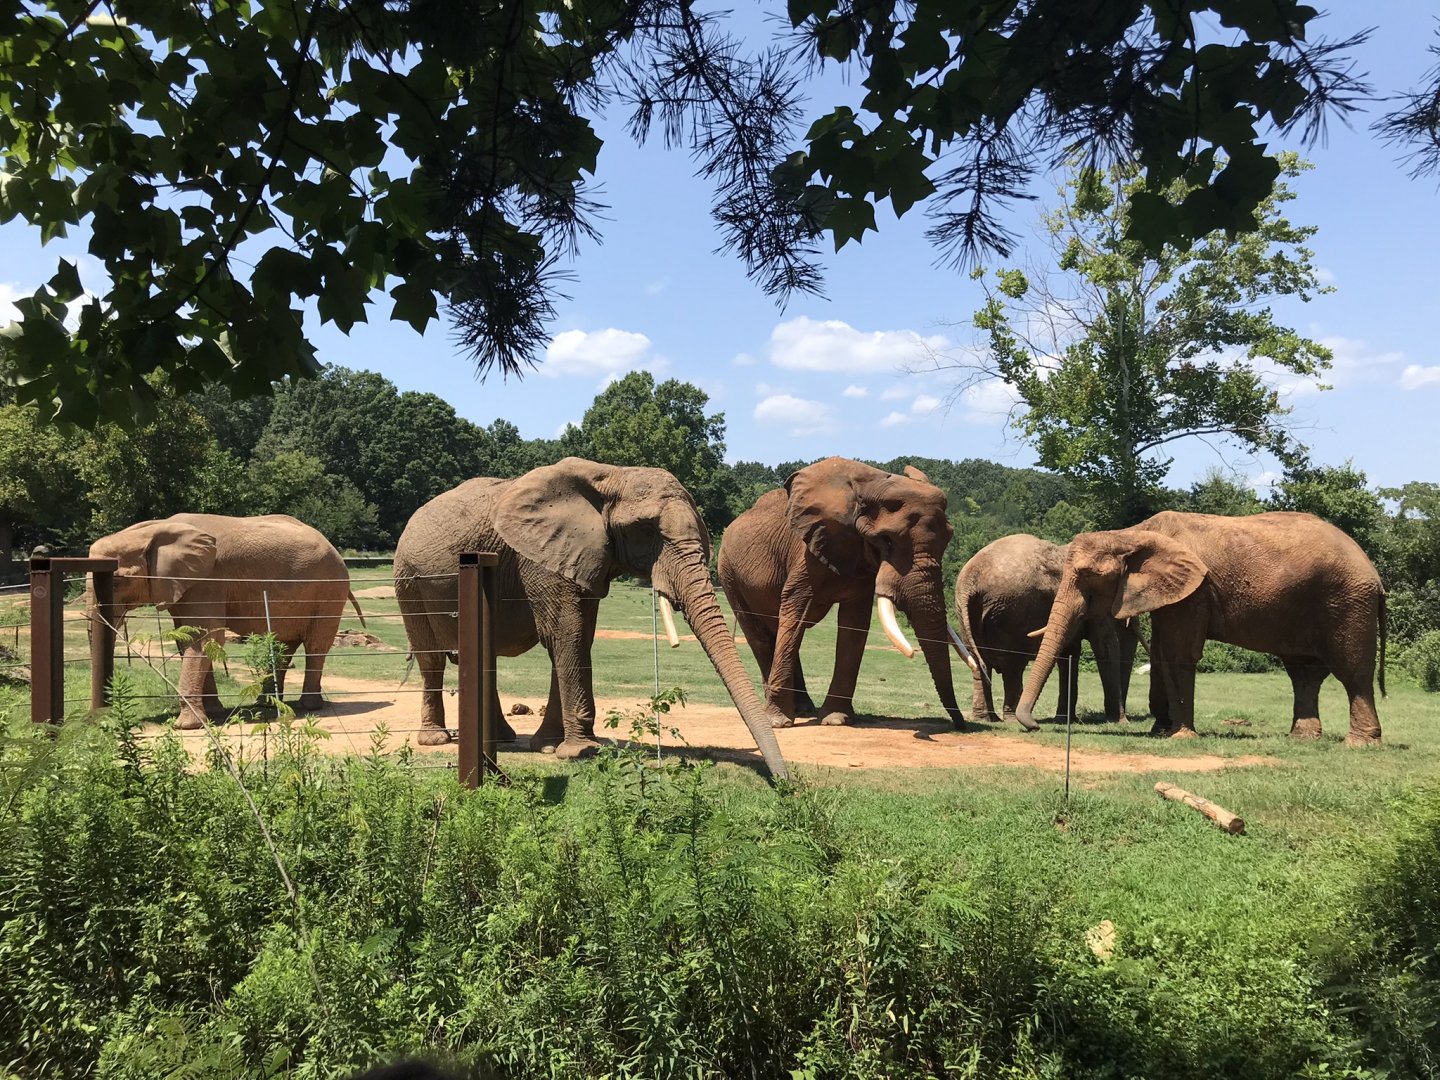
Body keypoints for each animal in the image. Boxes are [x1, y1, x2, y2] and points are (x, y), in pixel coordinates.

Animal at [87, 514, 364, 727]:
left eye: (116, 581)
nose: (102, 717)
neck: (156, 528)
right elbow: (188, 639)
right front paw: (213, 712)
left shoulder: (208, 581)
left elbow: (204, 638)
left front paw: (187, 726)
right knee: (283, 644)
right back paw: (268, 703)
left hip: (330, 590)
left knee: (316, 645)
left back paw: (309, 706)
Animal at [392, 458, 789, 779]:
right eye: (646, 531)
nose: (785, 784)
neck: (612, 475)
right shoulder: (539, 556)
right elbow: (567, 634)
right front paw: (580, 751)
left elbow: (574, 637)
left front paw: (550, 745)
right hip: (408, 580)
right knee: (431, 659)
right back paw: (435, 739)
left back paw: (500, 738)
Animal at [717, 457, 972, 728]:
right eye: (887, 540)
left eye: (948, 539)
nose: (960, 725)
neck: (871, 484)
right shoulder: (808, 553)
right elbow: (796, 612)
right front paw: (778, 723)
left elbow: (854, 623)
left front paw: (836, 720)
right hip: (729, 573)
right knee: (761, 635)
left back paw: (803, 709)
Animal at [956, 534, 1138, 730]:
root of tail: (970, 578)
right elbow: (1106, 646)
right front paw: (1120, 722)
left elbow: (1070, 653)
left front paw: (1065, 720)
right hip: (1012, 612)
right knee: (1013, 665)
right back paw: (1011, 720)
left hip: (967, 613)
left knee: (978, 662)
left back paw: (986, 719)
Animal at [1015, 510, 1387, 745]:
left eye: (1087, 578)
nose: (1032, 727)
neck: (1132, 533)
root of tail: (1372, 570)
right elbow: (1162, 653)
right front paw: (1160, 731)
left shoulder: (1195, 591)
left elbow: (1179, 653)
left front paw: (1179, 736)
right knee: (1304, 673)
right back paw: (1302, 739)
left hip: (1347, 601)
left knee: (1352, 671)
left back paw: (1359, 744)